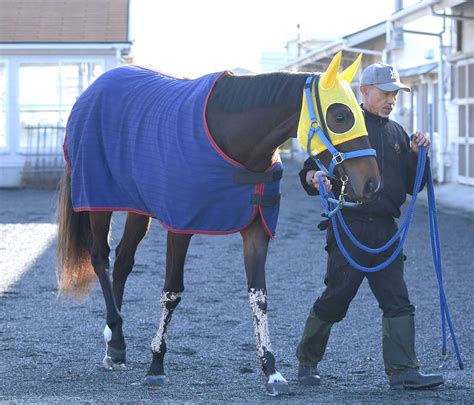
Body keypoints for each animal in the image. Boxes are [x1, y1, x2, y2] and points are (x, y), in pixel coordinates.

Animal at [56, 50, 382, 394]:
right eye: (340, 116)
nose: (372, 183)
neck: (234, 140)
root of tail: (93, 91)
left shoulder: (257, 229)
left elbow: (258, 296)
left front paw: (271, 371)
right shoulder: (180, 225)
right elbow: (172, 292)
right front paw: (156, 364)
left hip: (138, 205)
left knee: (123, 262)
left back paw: (114, 347)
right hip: (98, 199)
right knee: (100, 257)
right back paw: (115, 333)